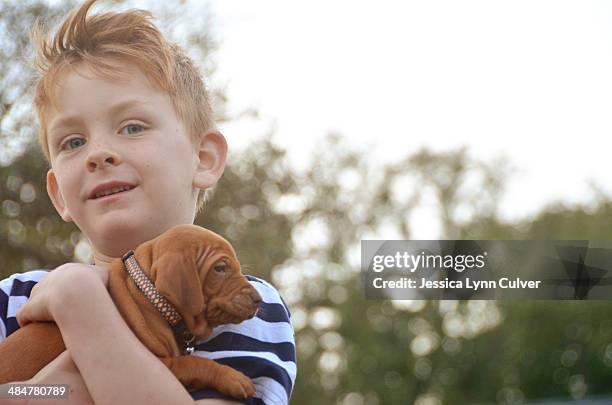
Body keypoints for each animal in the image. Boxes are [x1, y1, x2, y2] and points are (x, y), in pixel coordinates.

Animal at [0, 224, 260, 398]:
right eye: (220, 268)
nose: (258, 300)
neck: (150, 295)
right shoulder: (163, 365)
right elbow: (196, 363)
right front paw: (232, 377)